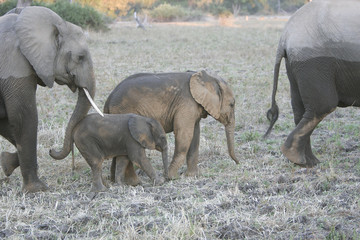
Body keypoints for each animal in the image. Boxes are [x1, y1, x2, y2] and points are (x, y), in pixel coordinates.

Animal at [0, 6, 101, 192]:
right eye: (80, 57)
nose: (51, 150)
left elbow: (6, 121)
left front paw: (6, 164)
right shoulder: (14, 65)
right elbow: (24, 118)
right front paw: (37, 189)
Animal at [104, 70, 239, 179]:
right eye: (232, 104)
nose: (238, 163)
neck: (205, 77)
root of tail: (108, 99)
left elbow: (195, 135)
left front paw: (191, 176)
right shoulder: (186, 104)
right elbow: (184, 134)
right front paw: (172, 177)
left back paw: (114, 180)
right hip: (123, 111)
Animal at [264, 0, 360, 168]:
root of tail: (285, 36)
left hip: (296, 64)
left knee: (301, 110)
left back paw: (307, 161)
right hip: (313, 62)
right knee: (323, 106)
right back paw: (299, 159)